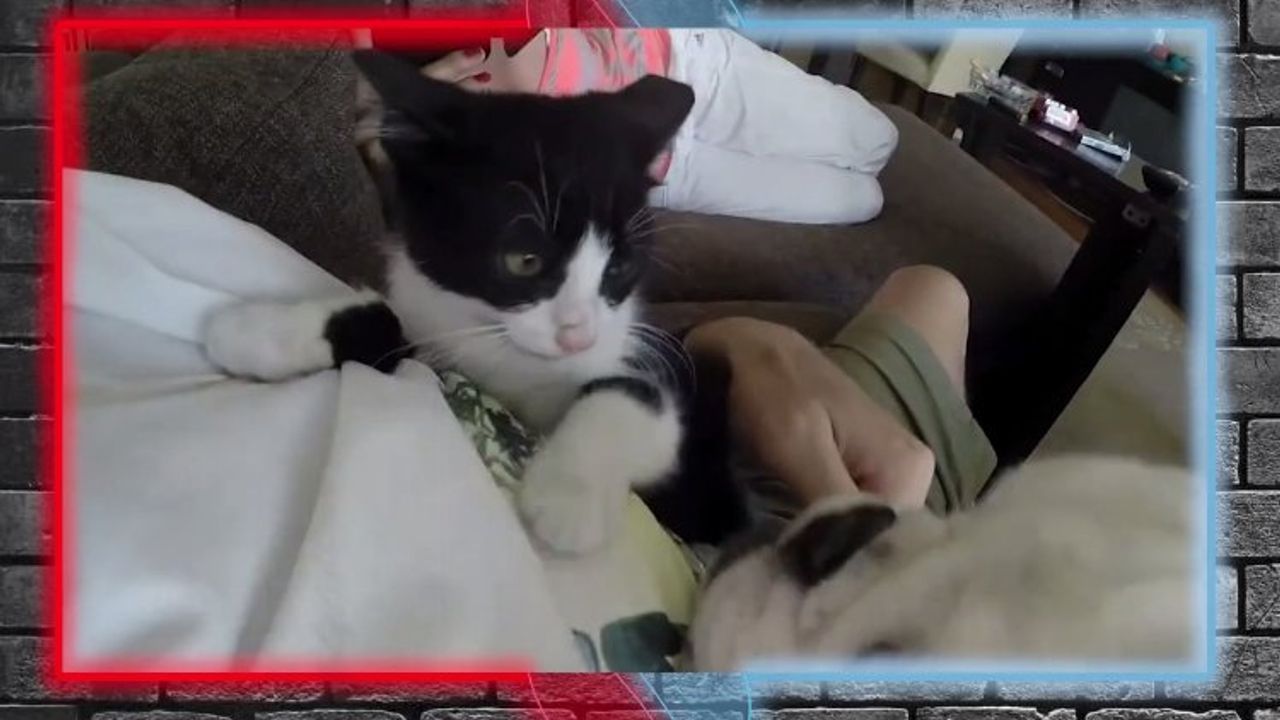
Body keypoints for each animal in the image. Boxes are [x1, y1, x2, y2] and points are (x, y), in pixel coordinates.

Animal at [203, 49, 747, 554]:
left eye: (618, 268)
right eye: (524, 260)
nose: (577, 336)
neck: (506, 355)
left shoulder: (669, 391)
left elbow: (633, 395)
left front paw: (569, 498)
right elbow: (393, 322)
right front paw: (262, 330)